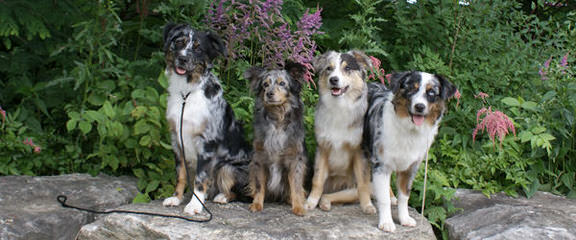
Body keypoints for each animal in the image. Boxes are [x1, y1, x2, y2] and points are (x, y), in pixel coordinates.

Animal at [162, 23, 252, 216]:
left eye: (198, 48)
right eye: (179, 42)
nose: (182, 59)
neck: (186, 93)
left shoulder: (206, 143)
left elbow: (200, 178)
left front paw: (195, 205)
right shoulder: (177, 141)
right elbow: (180, 175)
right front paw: (176, 198)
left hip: (228, 166)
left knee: (244, 193)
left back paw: (222, 196)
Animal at [246, 62, 312, 216]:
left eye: (282, 83)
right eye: (265, 84)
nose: (269, 93)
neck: (277, 118)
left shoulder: (295, 159)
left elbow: (296, 185)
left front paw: (298, 206)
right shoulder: (259, 158)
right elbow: (259, 185)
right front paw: (257, 204)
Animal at [306, 50, 378, 214]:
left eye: (347, 68)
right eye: (329, 68)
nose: (333, 79)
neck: (339, 108)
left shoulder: (360, 151)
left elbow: (363, 184)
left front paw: (367, 206)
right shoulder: (323, 148)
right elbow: (317, 180)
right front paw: (310, 202)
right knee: (328, 194)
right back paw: (324, 203)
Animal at [364, 70, 454, 232]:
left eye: (431, 93)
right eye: (411, 89)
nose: (419, 107)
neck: (409, 130)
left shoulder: (411, 167)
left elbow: (404, 196)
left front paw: (404, 218)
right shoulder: (381, 163)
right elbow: (383, 199)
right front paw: (386, 222)